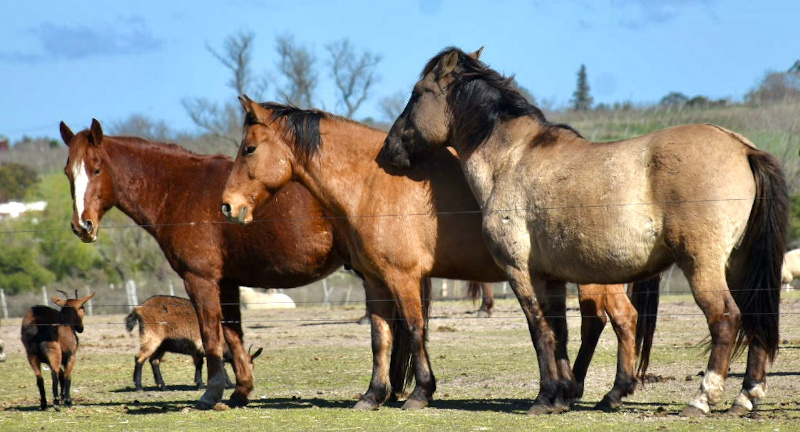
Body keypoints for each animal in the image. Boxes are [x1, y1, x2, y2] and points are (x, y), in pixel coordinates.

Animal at [125, 296, 262, 392]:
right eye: (250, 366)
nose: (250, 383)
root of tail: (140, 308)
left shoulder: (197, 350)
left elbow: (199, 364)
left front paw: (199, 384)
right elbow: (220, 366)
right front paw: (230, 384)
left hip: (161, 346)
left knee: (154, 361)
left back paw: (163, 386)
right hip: (151, 338)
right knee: (139, 358)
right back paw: (139, 387)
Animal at [220, 98, 664, 412]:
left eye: (249, 148)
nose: (227, 205)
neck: (371, 181)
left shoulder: (403, 278)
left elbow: (415, 330)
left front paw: (420, 392)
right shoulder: (376, 282)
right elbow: (380, 338)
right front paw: (373, 395)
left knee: (619, 319)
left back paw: (610, 392)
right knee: (598, 323)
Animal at [382, 46, 788, 416]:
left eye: (417, 93)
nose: (388, 149)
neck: (511, 160)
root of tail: (743, 149)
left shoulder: (521, 272)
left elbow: (539, 330)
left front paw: (545, 398)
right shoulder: (552, 278)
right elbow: (559, 333)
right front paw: (561, 396)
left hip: (701, 265)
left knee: (726, 318)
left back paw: (701, 400)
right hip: (739, 265)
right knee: (755, 316)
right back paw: (745, 398)